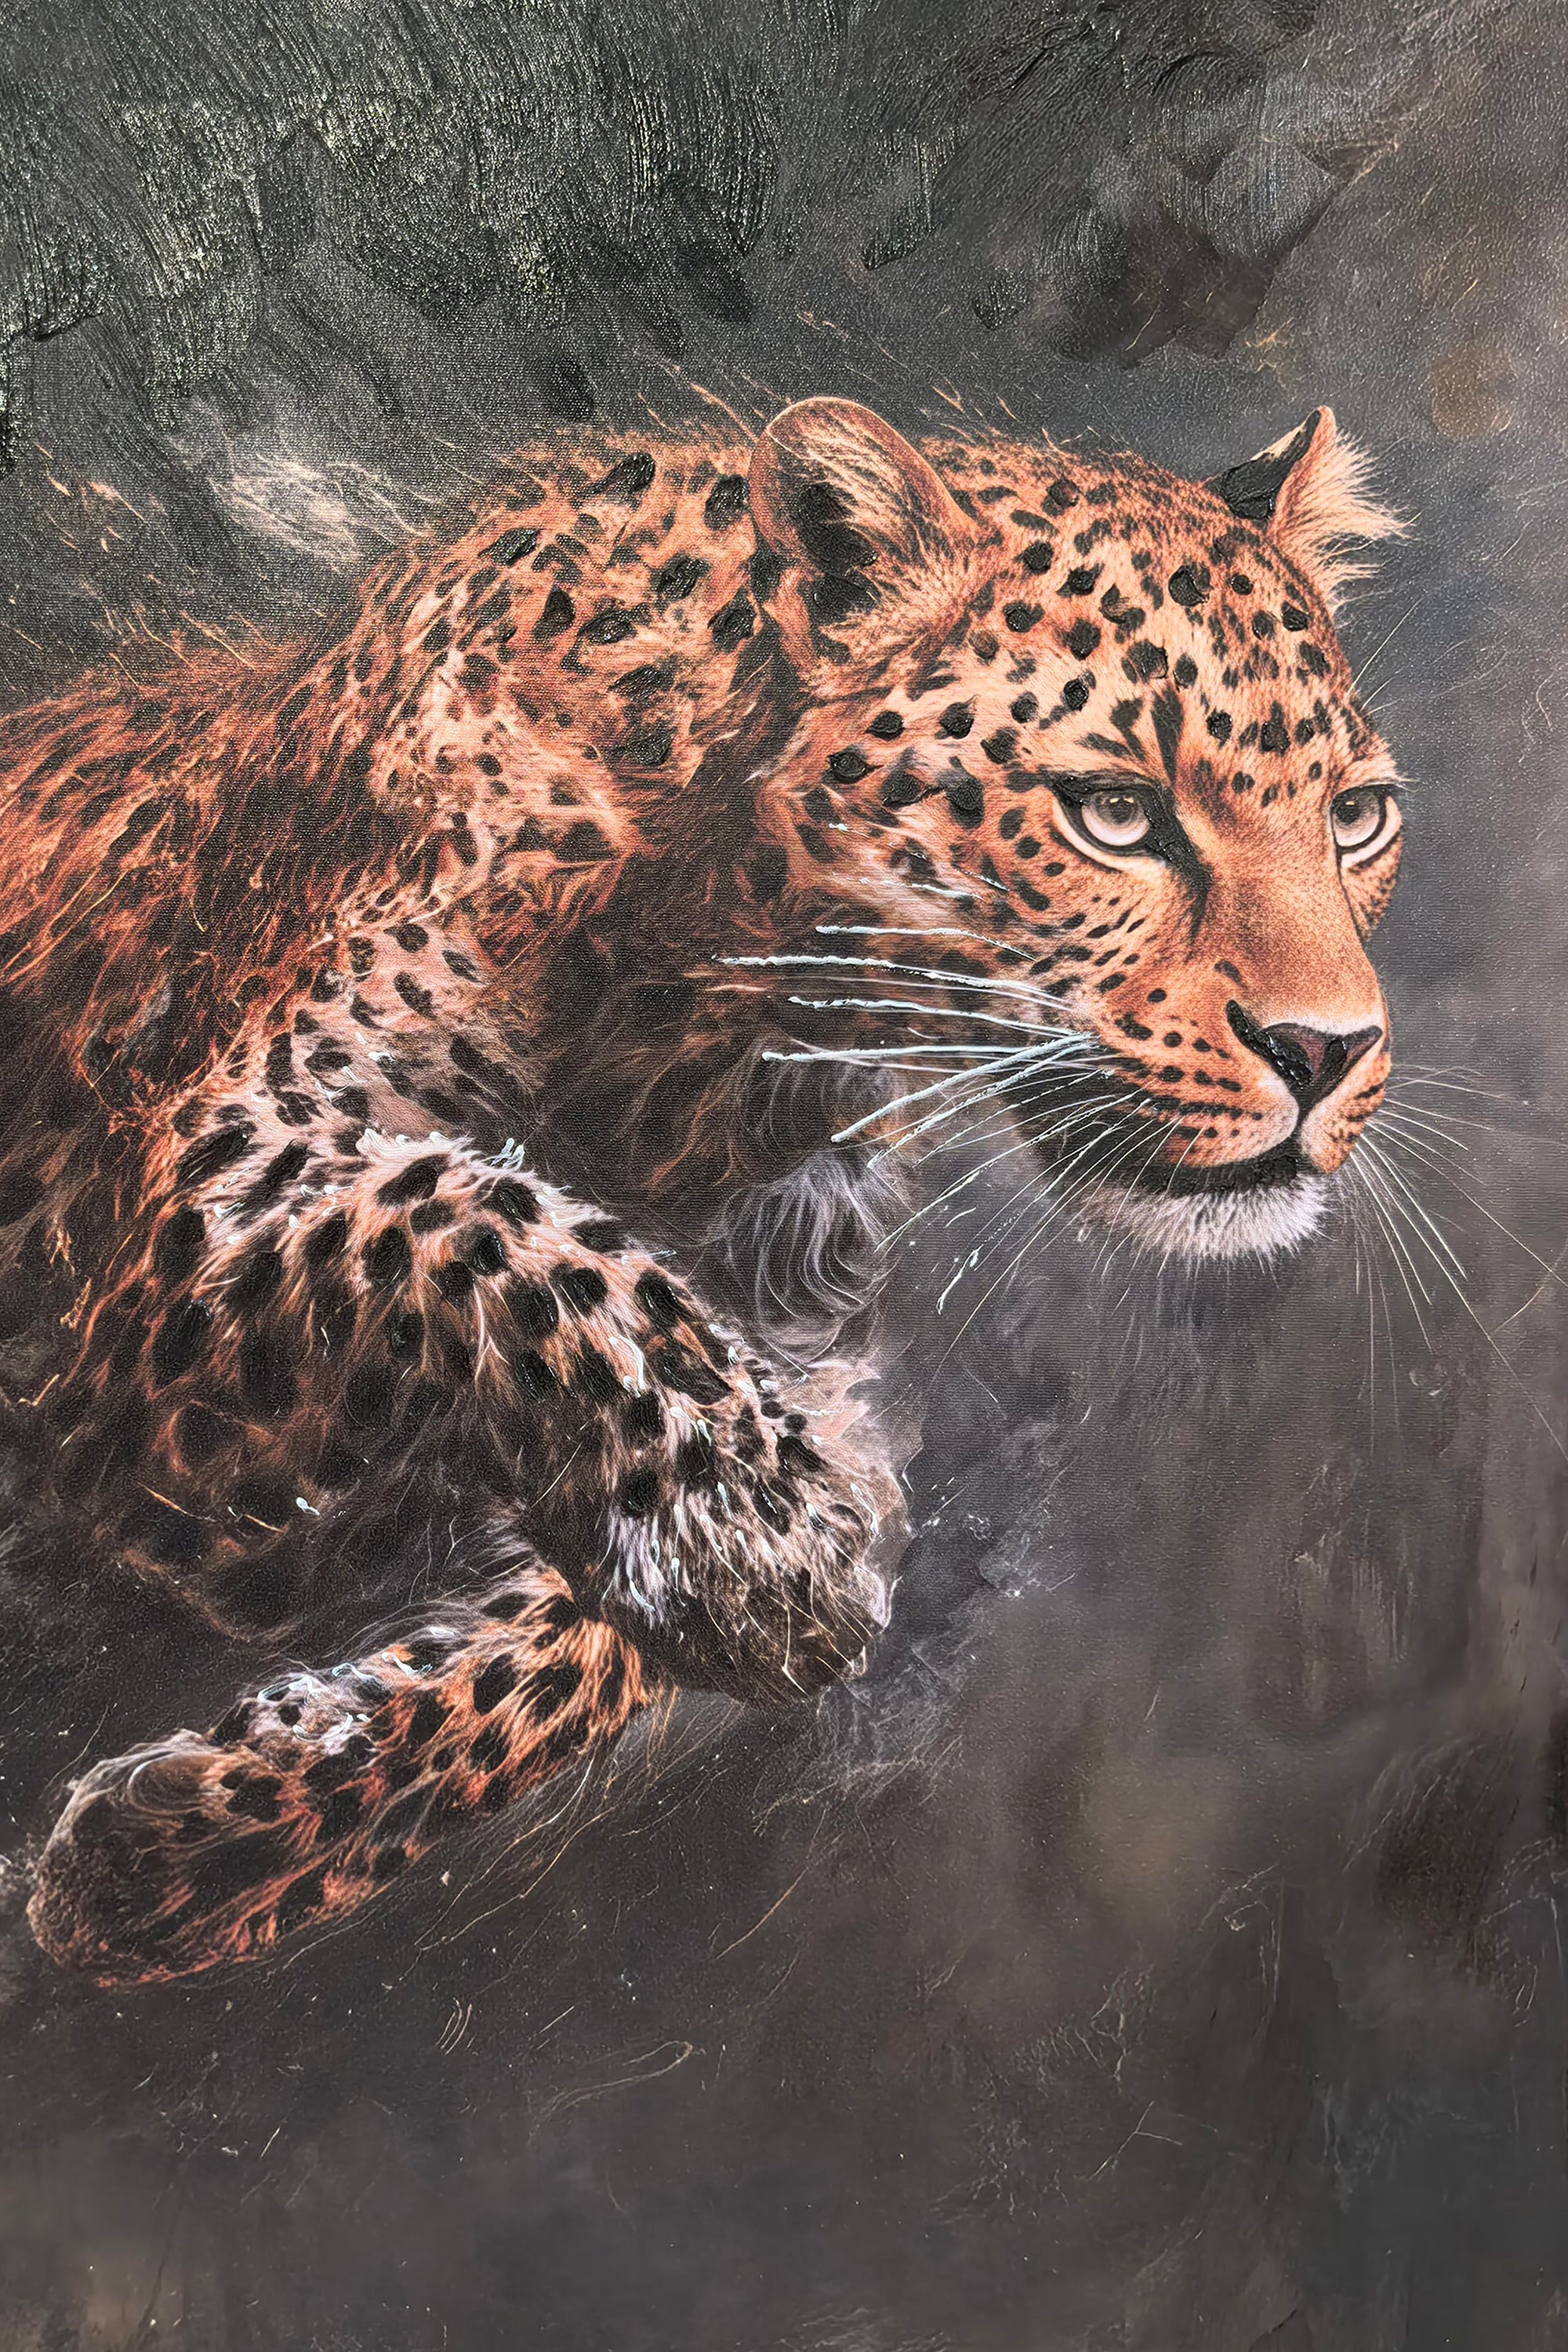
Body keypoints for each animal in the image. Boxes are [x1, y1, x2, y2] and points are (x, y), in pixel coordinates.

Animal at [5, 394, 1406, 1988]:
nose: (1329, 1050)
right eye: (1113, 812)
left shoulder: (811, 1362)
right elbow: (481, 1222)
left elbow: (575, 1650)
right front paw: (758, 1540)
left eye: (1358, 818)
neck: (721, 1039)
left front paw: (165, 1856)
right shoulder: (164, 1272)